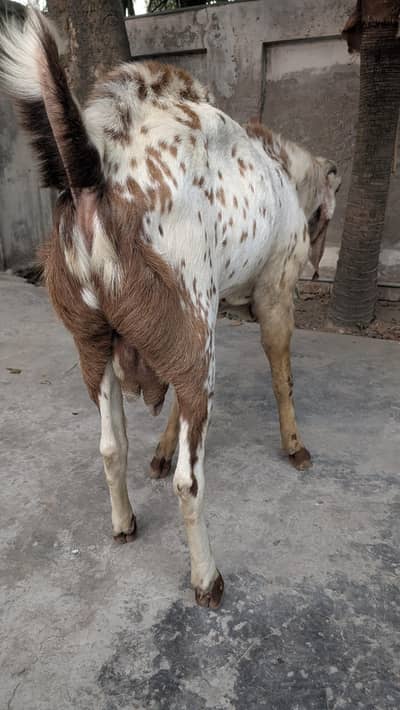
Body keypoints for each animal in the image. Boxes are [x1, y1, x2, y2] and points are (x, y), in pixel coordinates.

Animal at [0, 8, 341, 608]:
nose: (317, 270)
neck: (279, 168)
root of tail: (94, 175)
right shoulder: (271, 298)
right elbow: (282, 375)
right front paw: (296, 447)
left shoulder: (200, 322)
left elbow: (170, 413)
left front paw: (158, 453)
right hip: (194, 333)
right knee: (190, 482)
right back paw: (207, 577)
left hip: (98, 342)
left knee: (111, 447)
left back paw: (124, 522)